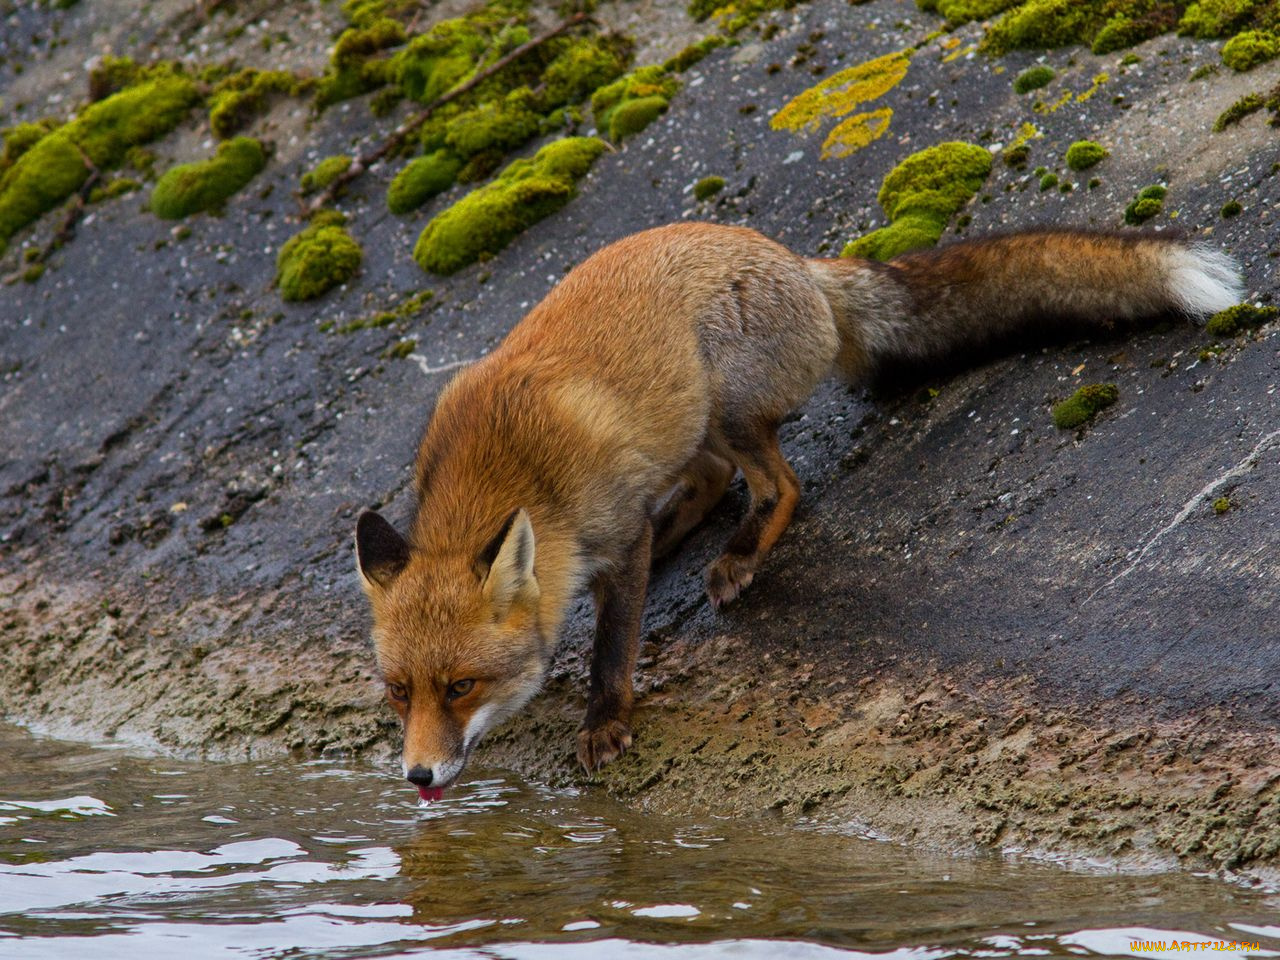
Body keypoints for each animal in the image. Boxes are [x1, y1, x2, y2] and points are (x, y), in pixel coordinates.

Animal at [350, 221, 1239, 798]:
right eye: (398, 693)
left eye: (461, 686)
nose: (418, 775)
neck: (509, 471)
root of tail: (797, 261)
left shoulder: (616, 530)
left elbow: (613, 646)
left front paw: (604, 720)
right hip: (694, 420)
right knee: (713, 480)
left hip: (729, 403)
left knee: (778, 486)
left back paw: (739, 556)